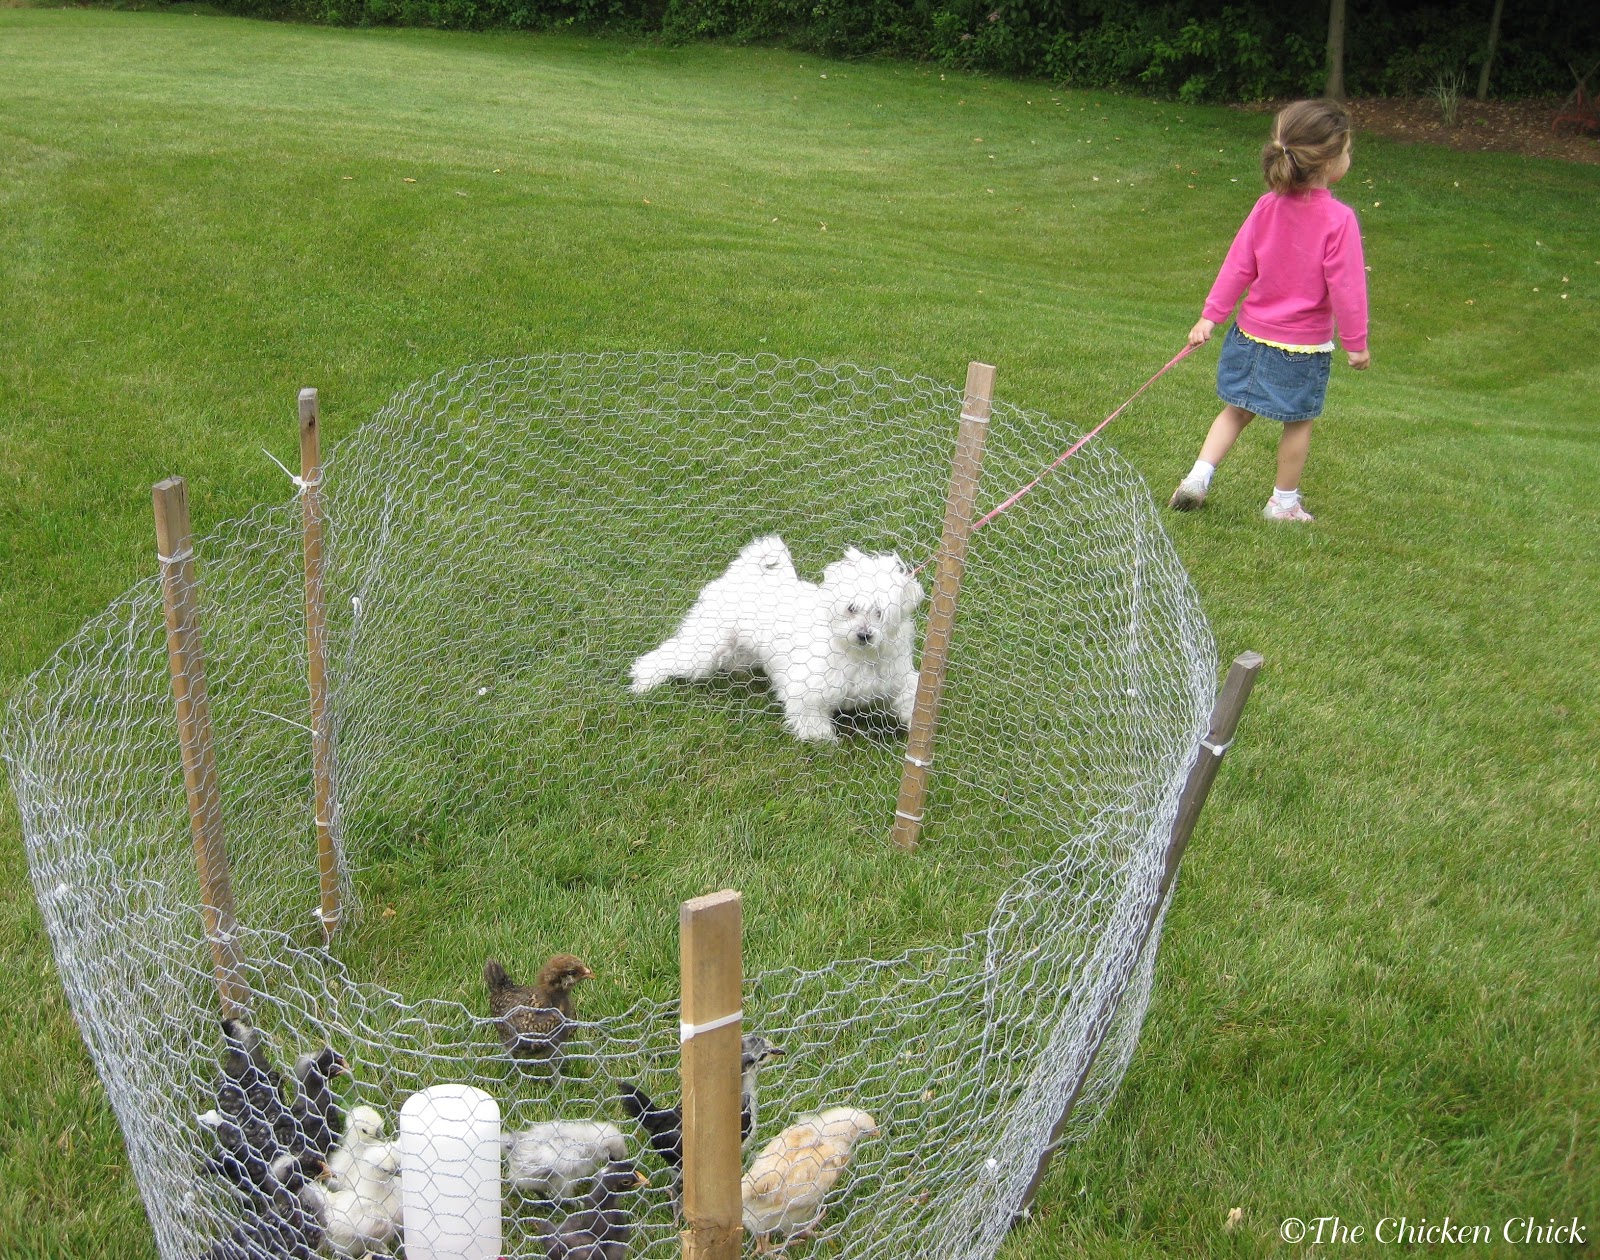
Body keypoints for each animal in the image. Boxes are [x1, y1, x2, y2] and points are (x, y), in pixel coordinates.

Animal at [627, 534, 928, 748]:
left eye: (879, 613)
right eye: (851, 608)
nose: (864, 634)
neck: (858, 654)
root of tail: (742, 574)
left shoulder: (896, 678)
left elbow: (910, 695)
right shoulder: (807, 687)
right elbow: (810, 716)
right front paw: (821, 739)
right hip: (706, 644)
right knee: (669, 655)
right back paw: (644, 680)